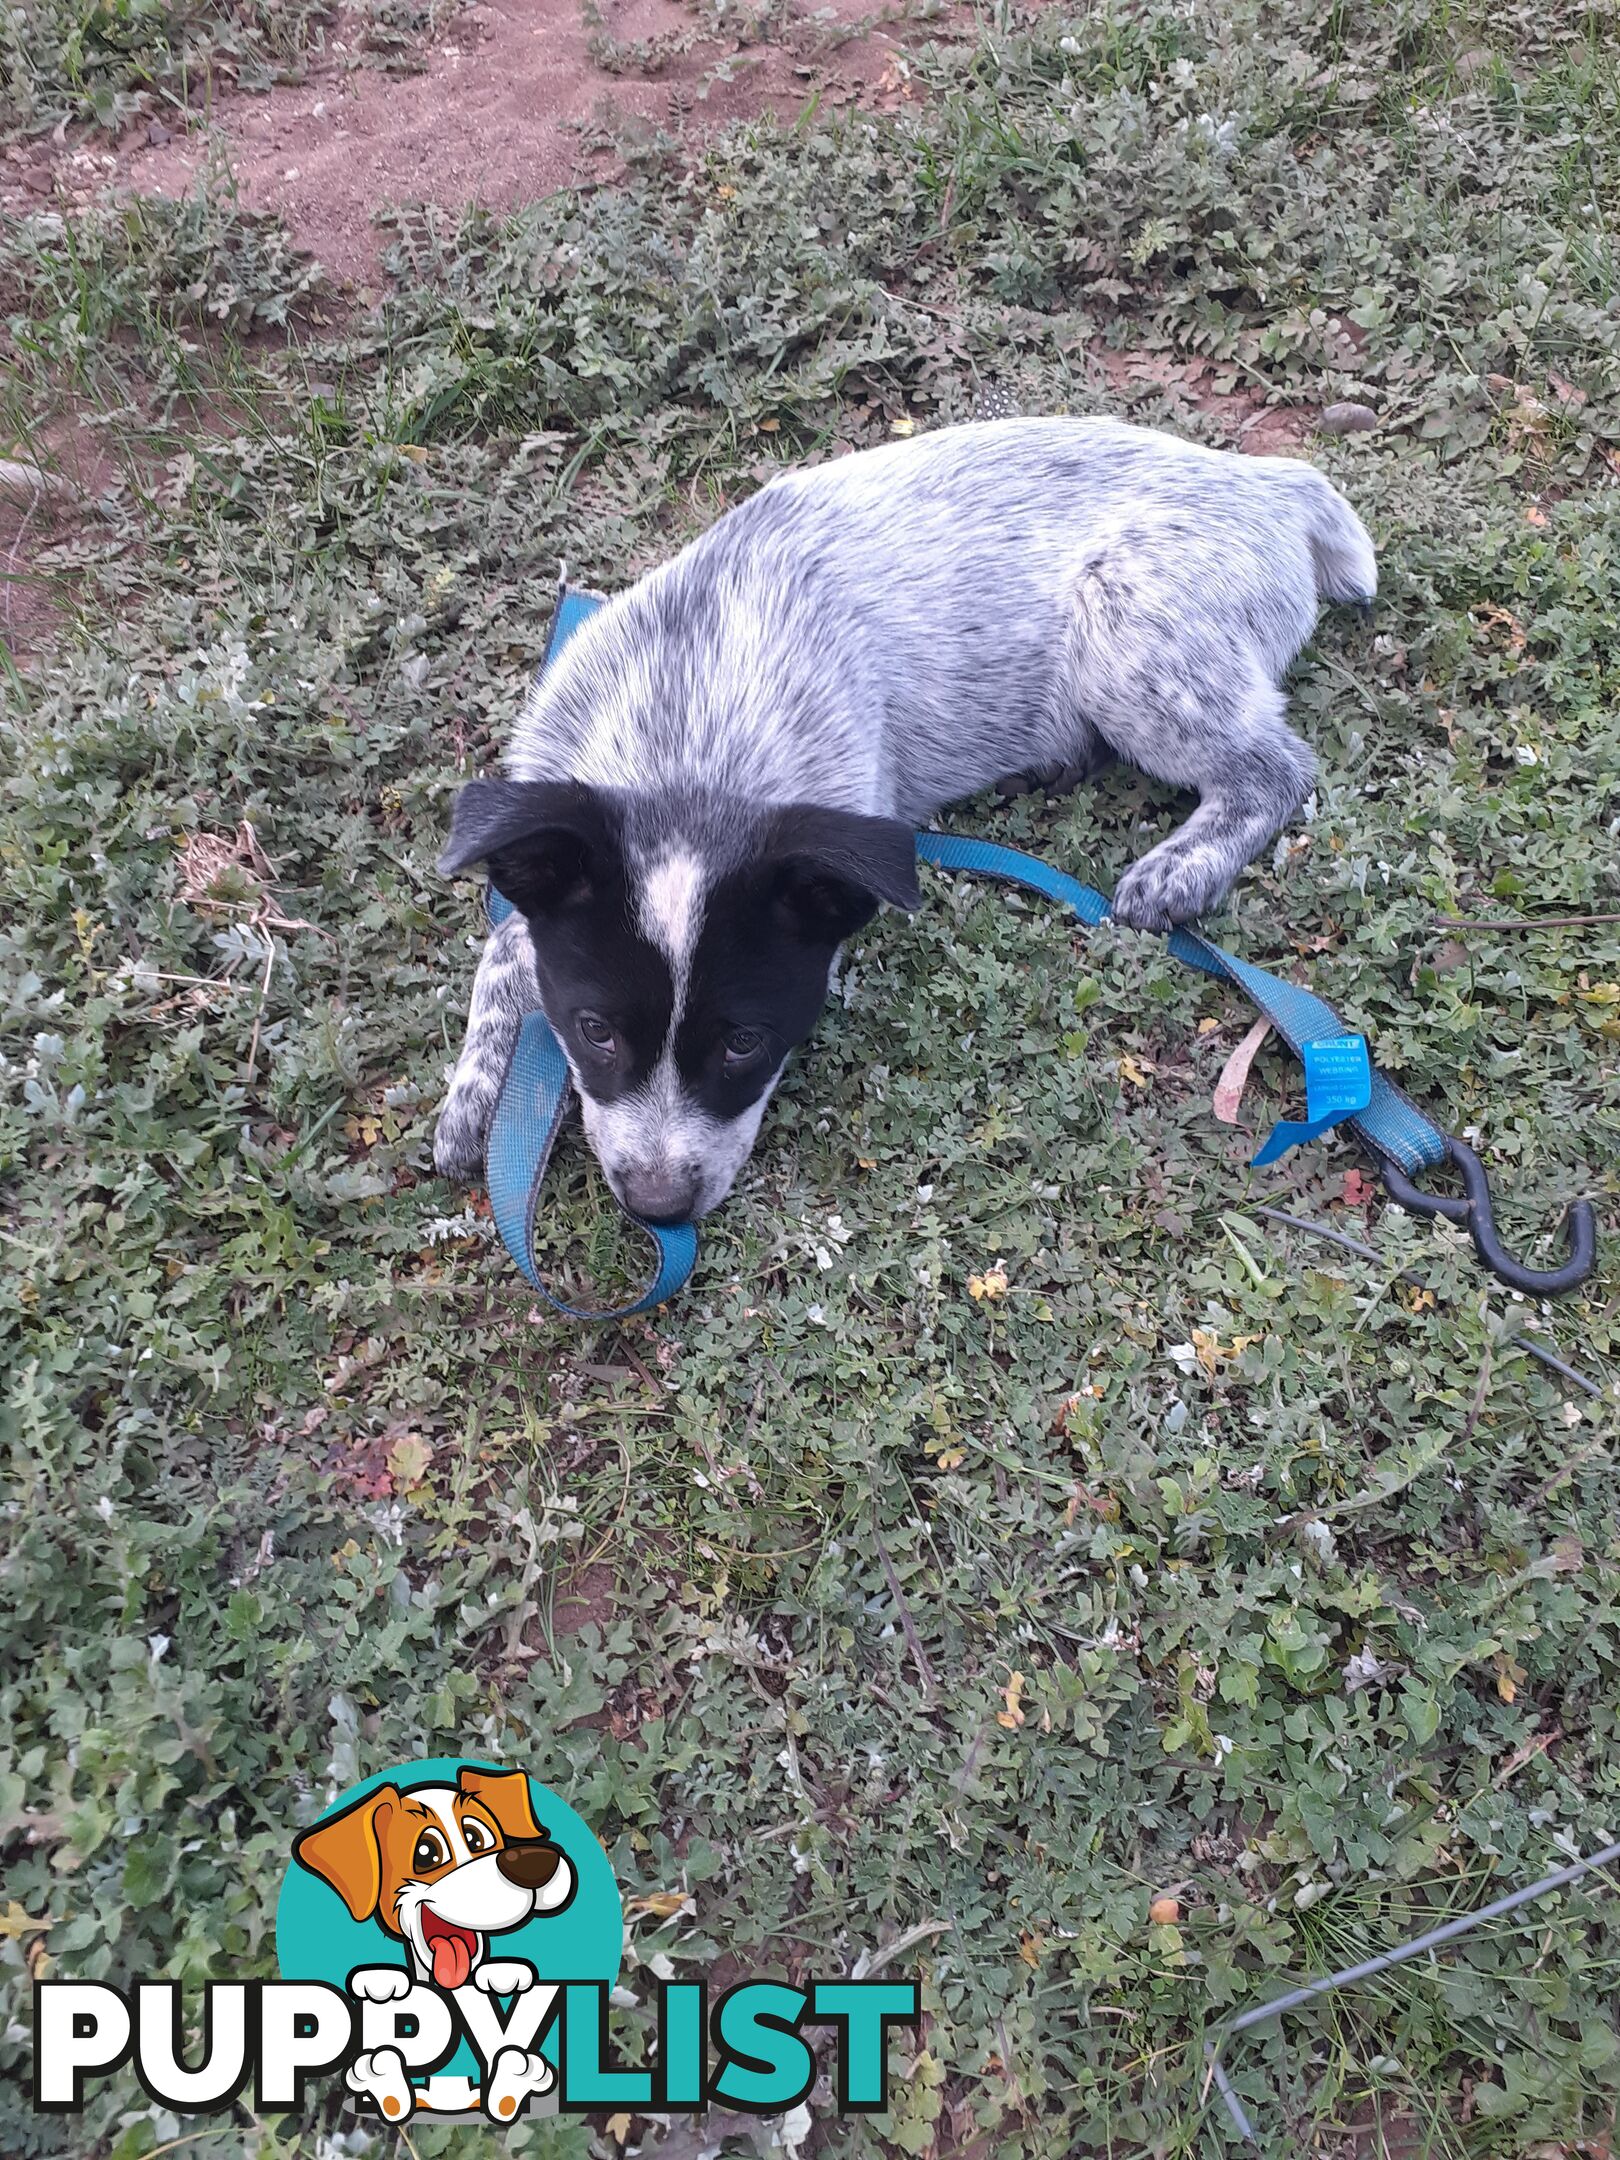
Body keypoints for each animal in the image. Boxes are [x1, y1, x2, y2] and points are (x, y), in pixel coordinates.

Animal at [432, 414, 1373, 1226]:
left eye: (744, 1043)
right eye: (594, 1031)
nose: (658, 1209)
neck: (688, 743)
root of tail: (1270, 483)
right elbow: (508, 948)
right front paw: (474, 1094)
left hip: (1129, 628)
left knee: (1273, 769)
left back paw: (1181, 867)